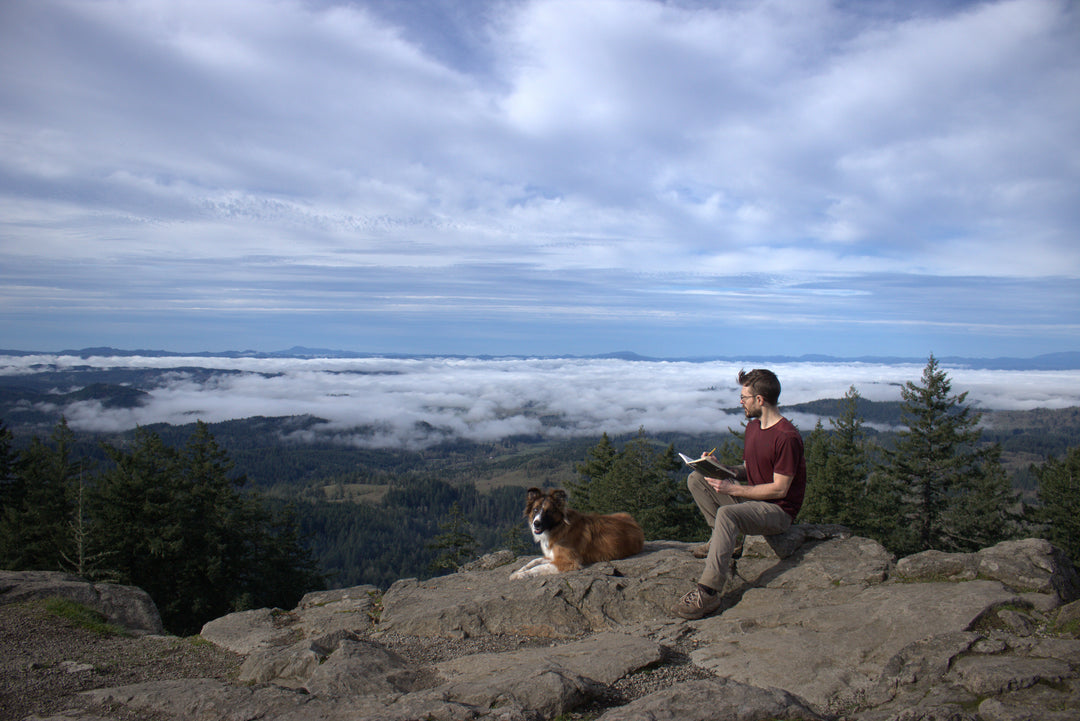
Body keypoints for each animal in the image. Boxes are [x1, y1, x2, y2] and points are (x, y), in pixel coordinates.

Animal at [505, 483, 639, 578]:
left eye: (548, 511)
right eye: (535, 510)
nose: (536, 523)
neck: (559, 528)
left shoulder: (567, 561)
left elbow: (539, 567)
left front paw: (520, 575)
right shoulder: (552, 556)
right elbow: (534, 561)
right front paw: (520, 570)